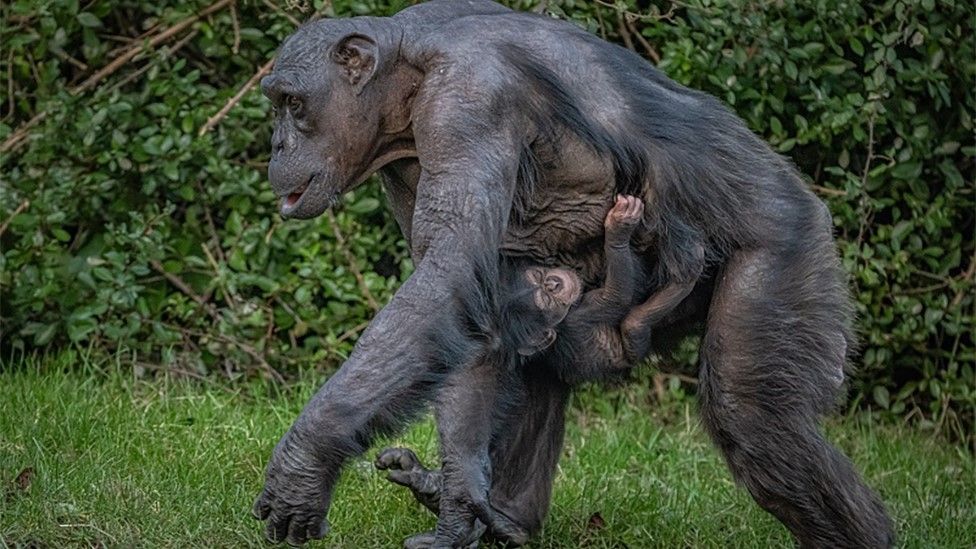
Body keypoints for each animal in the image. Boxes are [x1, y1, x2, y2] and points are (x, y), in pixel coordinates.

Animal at [504, 195, 700, 384]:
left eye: (539, 275)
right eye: (546, 301)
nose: (553, 284)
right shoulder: (582, 314)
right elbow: (616, 296)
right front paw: (619, 225)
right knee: (633, 324)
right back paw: (686, 275)